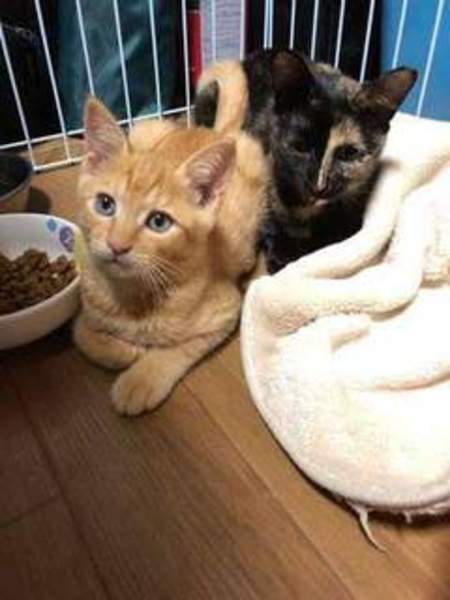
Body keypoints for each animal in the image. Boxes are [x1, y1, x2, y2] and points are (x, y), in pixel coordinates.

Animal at [73, 97, 268, 415]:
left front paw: (140, 381)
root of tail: (215, 131)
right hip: (144, 127)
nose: (117, 245)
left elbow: (176, 349)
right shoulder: (85, 310)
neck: (133, 296)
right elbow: (82, 335)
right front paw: (123, 350)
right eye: (105, 204)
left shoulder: (225, 309)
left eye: (158, 222)